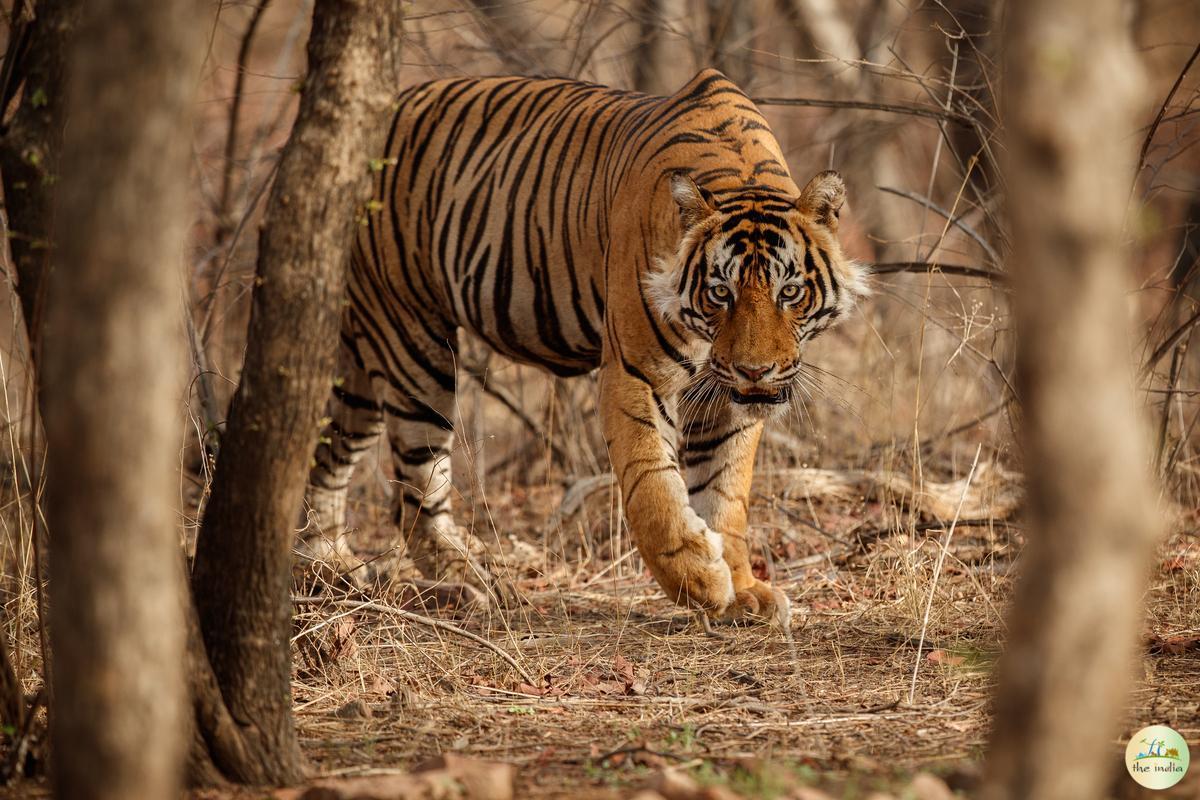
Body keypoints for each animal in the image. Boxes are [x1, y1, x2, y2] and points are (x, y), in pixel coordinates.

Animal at [298, 67, 864, 623]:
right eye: (720, 293)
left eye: (789, 292)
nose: (754, 370)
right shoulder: (637, 373)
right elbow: (652, 487)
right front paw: (700, 579)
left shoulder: (725, 397)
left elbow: (726, 492)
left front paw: (743, 590)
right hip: (414, 344)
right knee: (415, 492)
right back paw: (477, 585)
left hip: (362, 360)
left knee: (328, 451)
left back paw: (329, 564)